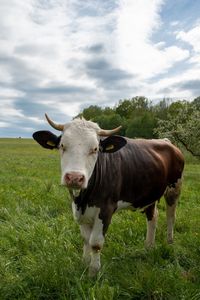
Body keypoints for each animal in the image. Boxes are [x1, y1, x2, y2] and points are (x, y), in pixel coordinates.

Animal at [32, 114, 184, 276]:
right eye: (62, 146)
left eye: (95, 149)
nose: (74, 177)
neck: (82, 200)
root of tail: (166, 141)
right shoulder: (79, 210)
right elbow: (86, 239)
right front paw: (84, 264)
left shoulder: (106, 209)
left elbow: (95, 243)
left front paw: (93, 272)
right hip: (149, 193)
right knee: (153, 216)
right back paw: (148, 247)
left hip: (174, 188)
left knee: (171, 216)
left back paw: (169, 242)